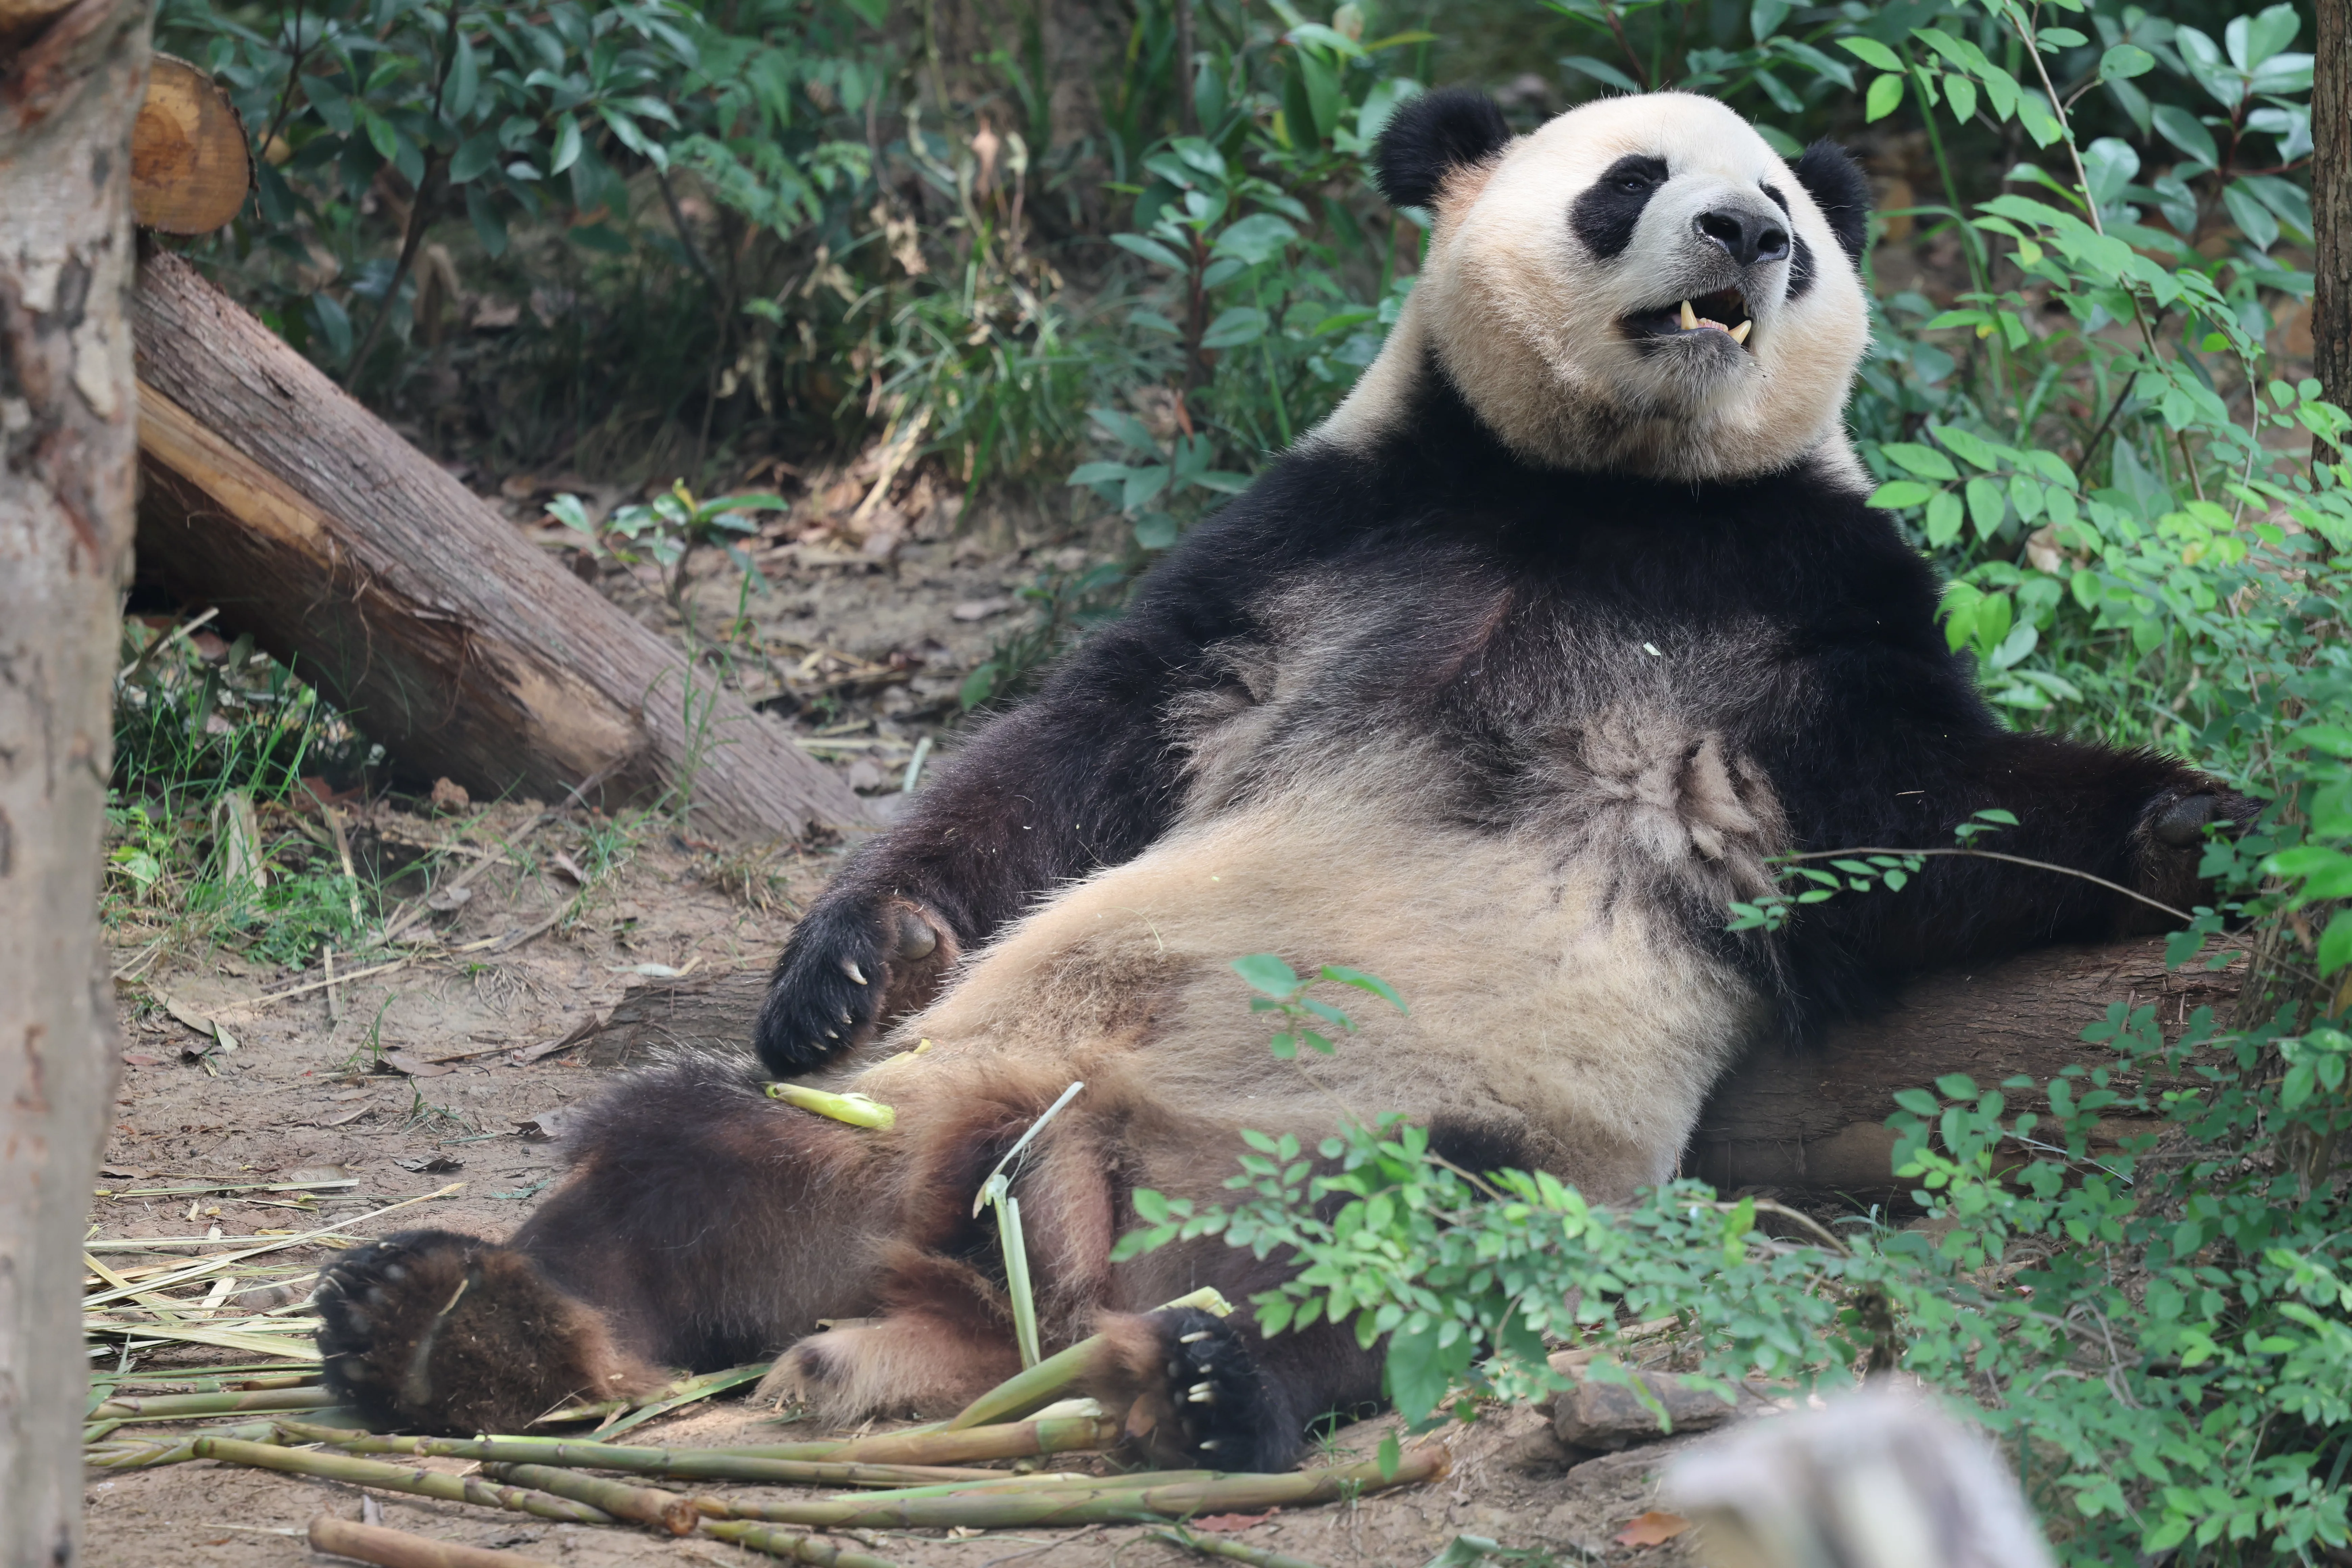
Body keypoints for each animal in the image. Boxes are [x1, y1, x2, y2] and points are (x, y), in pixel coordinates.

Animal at [316, 89, 2245, 1468]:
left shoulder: (1797, 598)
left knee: (1393, 1254)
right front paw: (845, 961)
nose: (1755, 234)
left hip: (1403, 1136)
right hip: (887, 1126)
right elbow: (1080, 745)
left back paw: (1204, 1386)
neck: (1604, 490)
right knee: (673, 1152)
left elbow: (1917, 808)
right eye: (1633, 177)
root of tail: (1006, 1254)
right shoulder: (1316, 532)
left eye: (1784, 196)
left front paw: (2191, 823)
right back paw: (448, 1323)